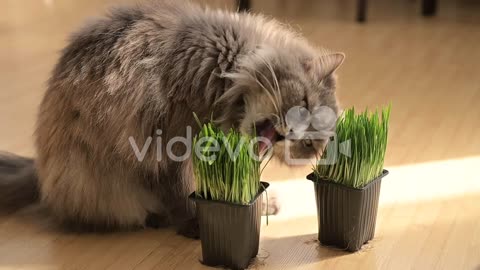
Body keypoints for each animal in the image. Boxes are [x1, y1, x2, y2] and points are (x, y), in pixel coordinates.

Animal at [0, 0, 344, 236]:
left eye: (309, 145)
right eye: (303, 103)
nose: (292, 135)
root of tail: (39, 171)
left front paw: (259, 204)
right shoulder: (166, 142)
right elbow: (182, 194)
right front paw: (197, 223)